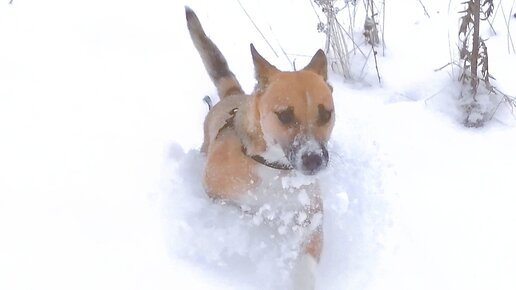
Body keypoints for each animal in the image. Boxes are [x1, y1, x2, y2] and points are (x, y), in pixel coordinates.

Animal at [184, 7, 334, 290]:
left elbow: (307, 254)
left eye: (325, 114)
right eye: (285, 115)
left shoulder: (312, 214)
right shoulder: (216, 193)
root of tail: (233, 94)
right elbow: (244, 210)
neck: (272, 166)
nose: (313, 160)